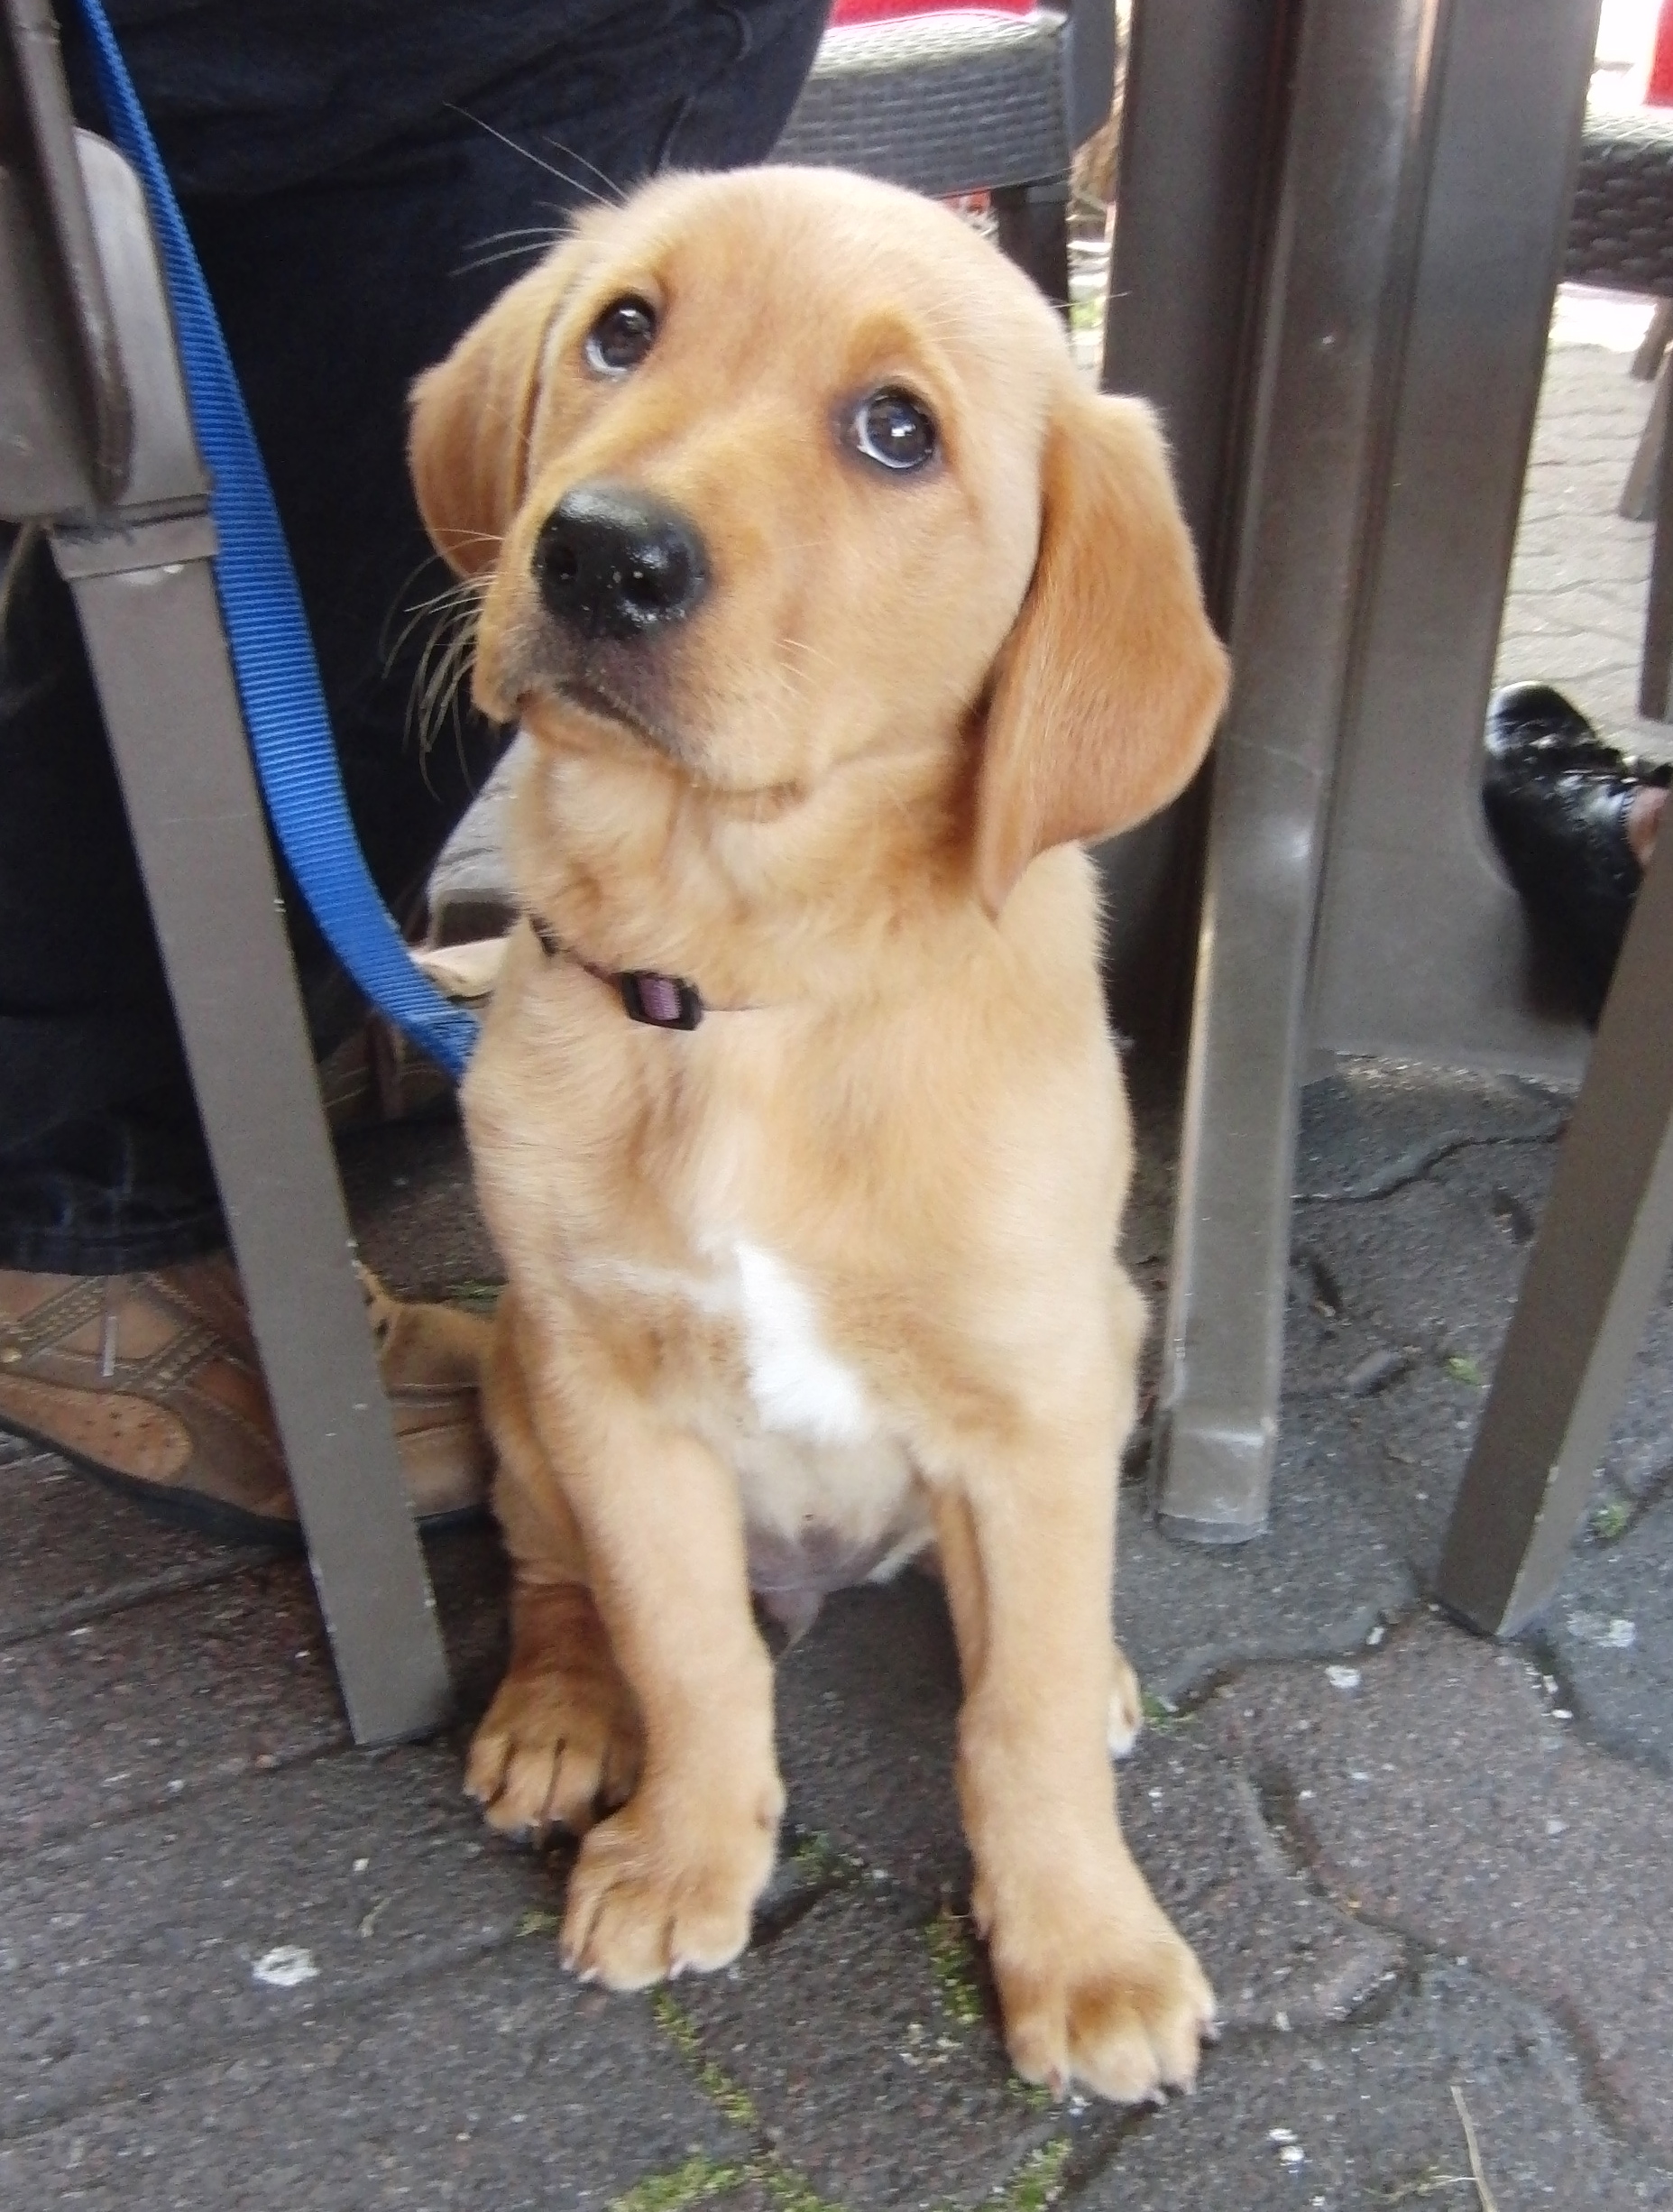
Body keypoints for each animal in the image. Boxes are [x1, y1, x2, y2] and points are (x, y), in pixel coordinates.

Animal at [409, 163, 1228, 2097]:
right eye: (624, 328)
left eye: (896, 430)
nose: (597, 549)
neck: (748, 985)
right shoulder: (608, 1386)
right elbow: (686, 1644)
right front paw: (686, 1853)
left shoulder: (1032, 1394)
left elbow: (1016, 1716)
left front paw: (1083, 1946)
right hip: (517, 1378)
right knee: (555, 1576)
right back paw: (558, 1716)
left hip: (1105, 1331)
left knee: (1026, 1624)